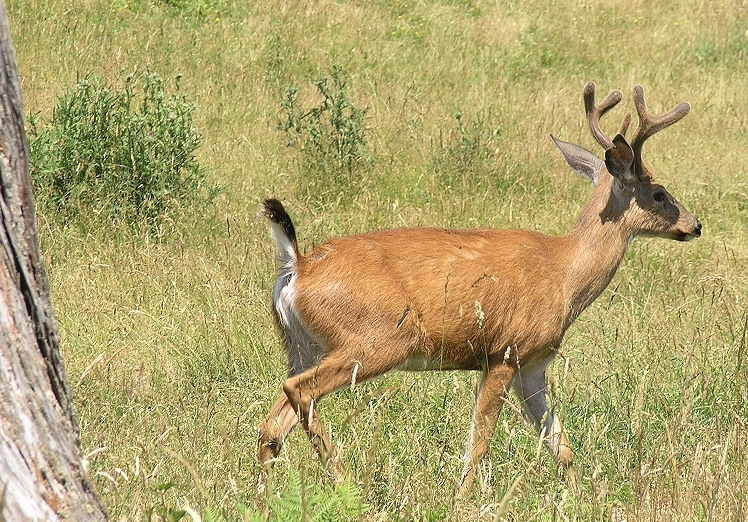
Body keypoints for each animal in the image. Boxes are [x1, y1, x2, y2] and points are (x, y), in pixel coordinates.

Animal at [256, 82, 701, 495]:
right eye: (659, 193)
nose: (695, 224)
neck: (564, 274)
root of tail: (298, 265)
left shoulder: (532, 365)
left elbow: (560, 444)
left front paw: (580, 497)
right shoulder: (504, 351)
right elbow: (480, 443)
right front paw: (462, 497)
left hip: (302, 345)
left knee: (273, 422)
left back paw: (263, 494)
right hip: (376, 340)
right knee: (298, 392)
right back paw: (344, 481)